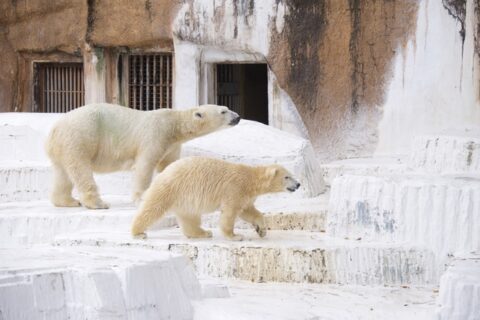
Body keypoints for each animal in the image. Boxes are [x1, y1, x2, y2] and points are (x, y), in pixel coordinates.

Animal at [45, 101, 240, 209]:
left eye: (227, 108)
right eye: (223, 111)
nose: (237, 117)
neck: (174, 124)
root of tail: (55, 128)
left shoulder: (172, 145)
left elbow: (169, 165)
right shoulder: (156, 135)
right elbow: (145, 165)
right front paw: (142, 197)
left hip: (64, 145)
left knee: (63, 173)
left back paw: (67, 201)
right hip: (81, 135)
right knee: (81, 169)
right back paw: (98, 203)